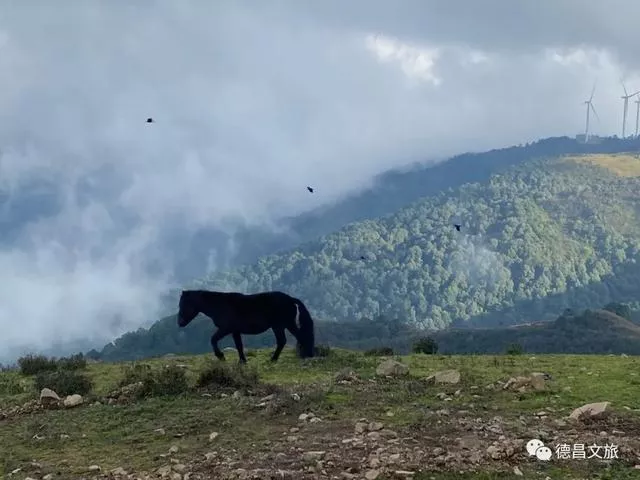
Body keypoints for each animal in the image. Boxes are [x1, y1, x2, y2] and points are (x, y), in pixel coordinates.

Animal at [176, 288, 316, 364]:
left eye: (183, 304)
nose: (180, 322)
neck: (220, 305)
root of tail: (291, 299)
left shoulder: (225, 329)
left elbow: (213, 339)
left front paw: (221, 356)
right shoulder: (235, 331)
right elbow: (239, 346)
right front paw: (242, 361)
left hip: (281, 325)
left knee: (289, 339)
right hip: (284, 325)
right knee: (290, 339)